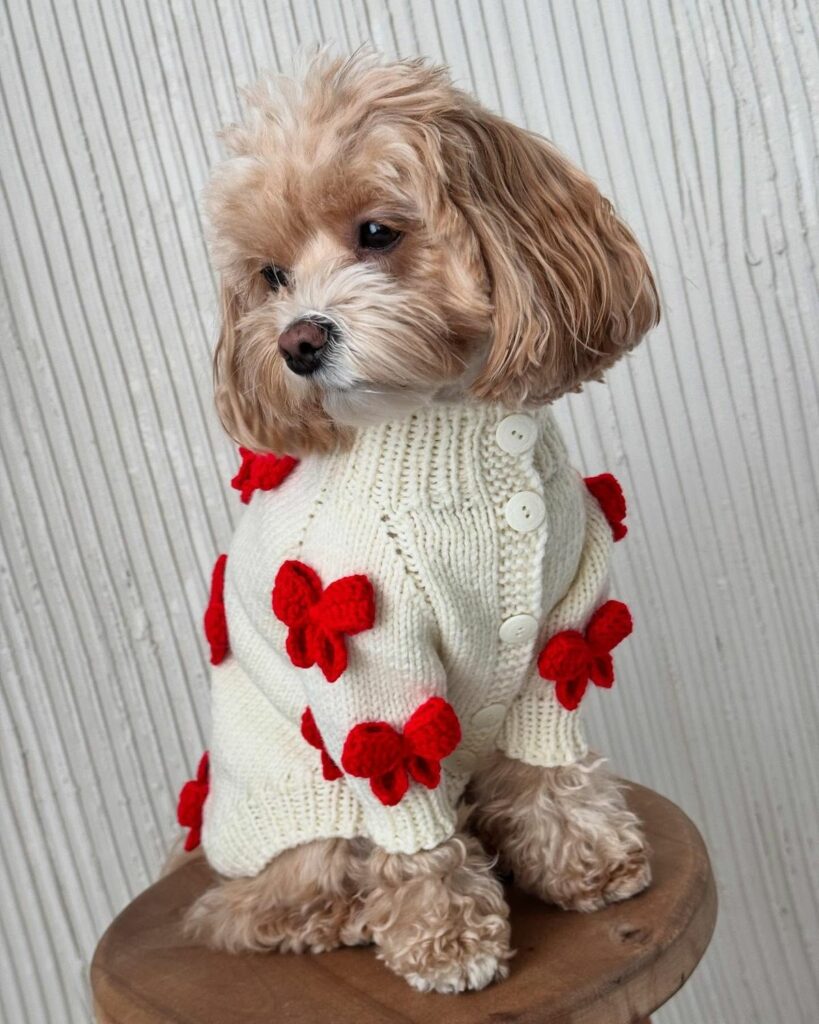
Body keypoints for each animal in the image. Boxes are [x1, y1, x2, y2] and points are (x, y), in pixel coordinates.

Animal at [178, 50, 659, 994]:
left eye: (376, 232)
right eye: (271, 276)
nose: (295, 342)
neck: (448, 431)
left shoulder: (564, 625)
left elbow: (549, 762)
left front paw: (585, 854)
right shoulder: (370, 671)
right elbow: (409, 817)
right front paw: (446, 936)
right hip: (305, 800)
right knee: (253, 906)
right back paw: (336, 917)